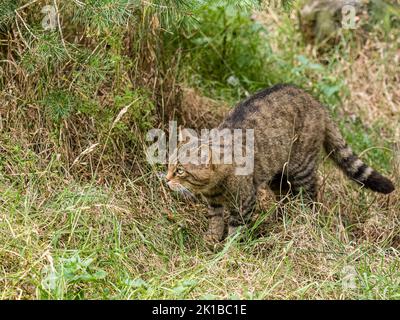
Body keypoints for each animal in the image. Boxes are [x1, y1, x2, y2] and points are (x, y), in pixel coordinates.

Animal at [165, 84, 394, 244]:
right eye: (168, 166)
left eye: (180, 171)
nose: (166, 180)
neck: (214, 187)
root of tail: (315, 101)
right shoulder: (214, 204)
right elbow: (215, 221)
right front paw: (211, 239)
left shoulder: (246, 201)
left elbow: (236, 228)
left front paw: (229, 248)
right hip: (277, 176)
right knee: (285, 196)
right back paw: (281, 220)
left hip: (301, 167)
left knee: (310, 195)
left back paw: (304, 220)